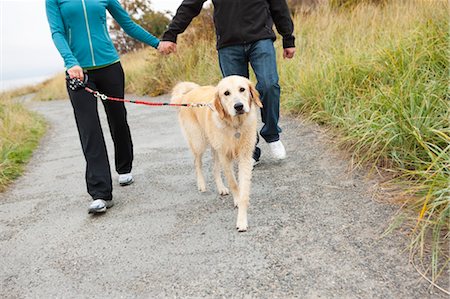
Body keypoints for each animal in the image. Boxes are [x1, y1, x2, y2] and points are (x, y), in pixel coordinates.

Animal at [171, 75, 262, 232]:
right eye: (226, 93)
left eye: (242, 89)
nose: (238, 106)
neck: (235, 126)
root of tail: (188, 94)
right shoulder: (225, 156)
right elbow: (233, 183)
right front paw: (237, 200)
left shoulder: (244, 157)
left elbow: (243, 189)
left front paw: (242, 218)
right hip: (199, 142)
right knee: (197, 163)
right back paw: (201, 184)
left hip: (215, 148)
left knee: (214, 169)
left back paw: (221, 188)